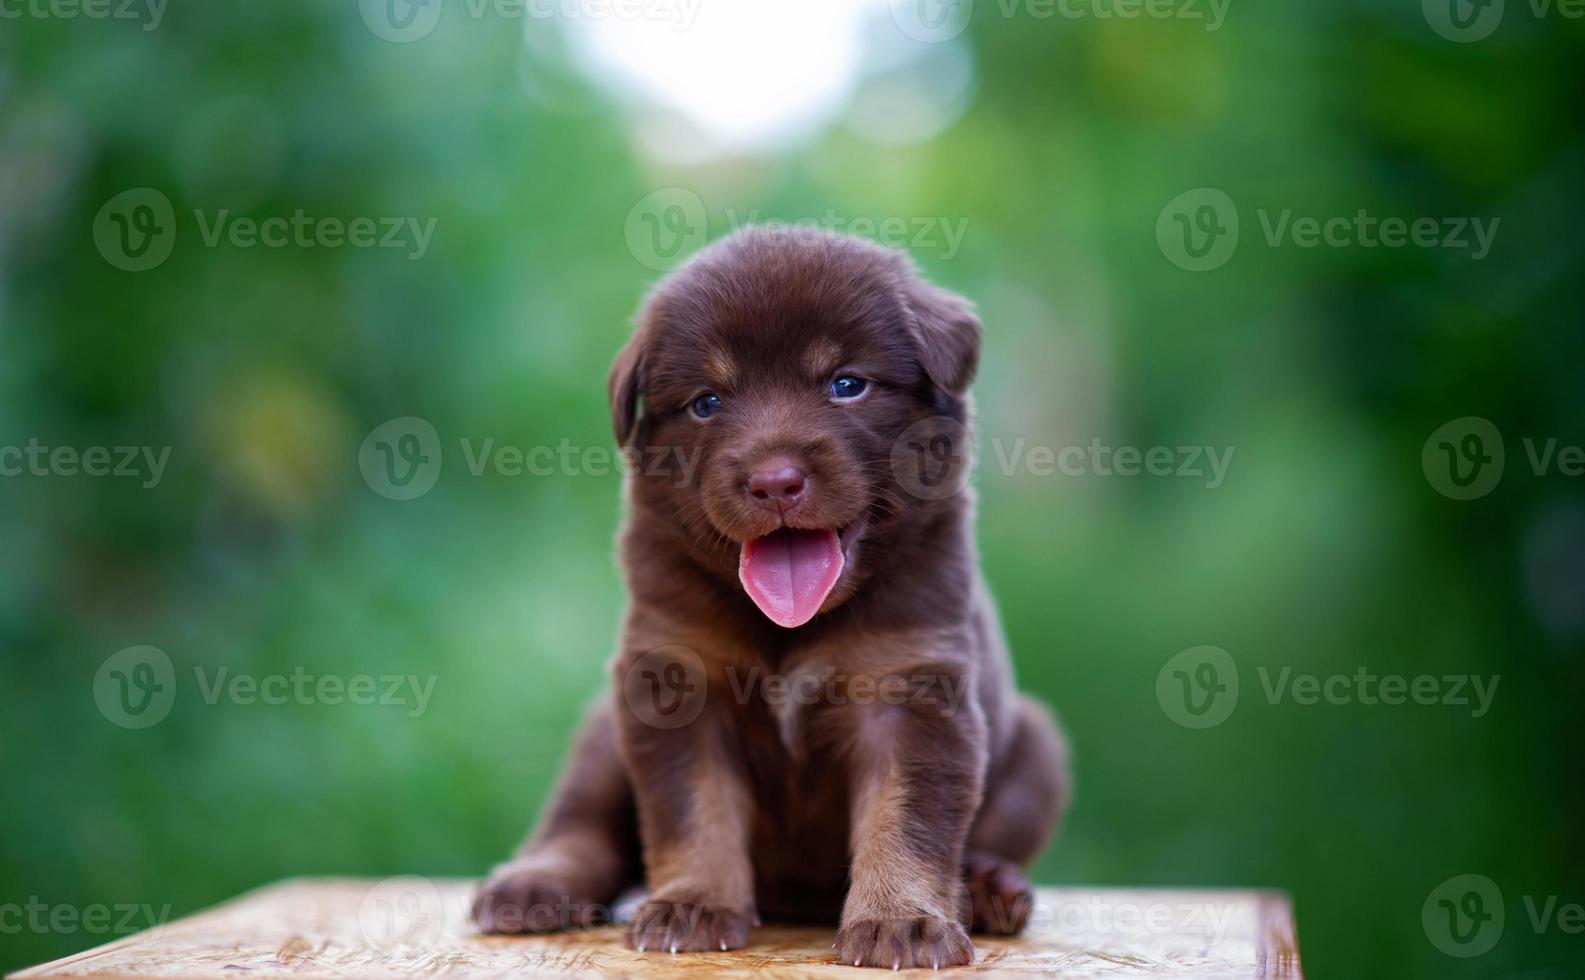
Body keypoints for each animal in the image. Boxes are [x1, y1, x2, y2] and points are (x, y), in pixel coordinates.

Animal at [469, 225, 1065, 964]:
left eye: (847, 385)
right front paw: (693, 904)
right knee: (579, 824)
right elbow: (693, 809)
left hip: (1038, 747)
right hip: (604, 730)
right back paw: (532, 885)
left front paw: (902, 921)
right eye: (706, 402)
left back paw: (987, 888)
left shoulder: (911, 686)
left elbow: (906, 817)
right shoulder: (675, 681)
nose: (774, 481)